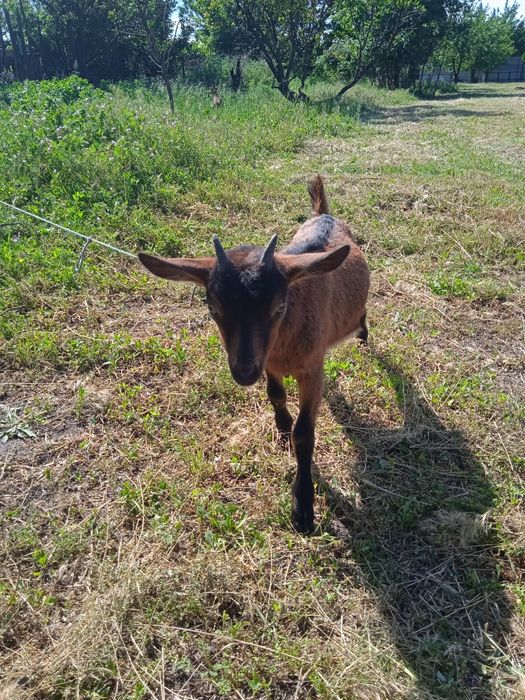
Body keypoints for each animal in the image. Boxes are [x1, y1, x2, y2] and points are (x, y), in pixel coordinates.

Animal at [139, 176, 370, 532]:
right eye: (213, 308)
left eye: (279, 306)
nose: (244, 371)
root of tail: (323, 214)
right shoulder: (268, 361)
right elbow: (275, 394)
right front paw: (282, 430)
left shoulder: (312, 369)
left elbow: (305, 433)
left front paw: (303, 508)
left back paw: (363, 333)